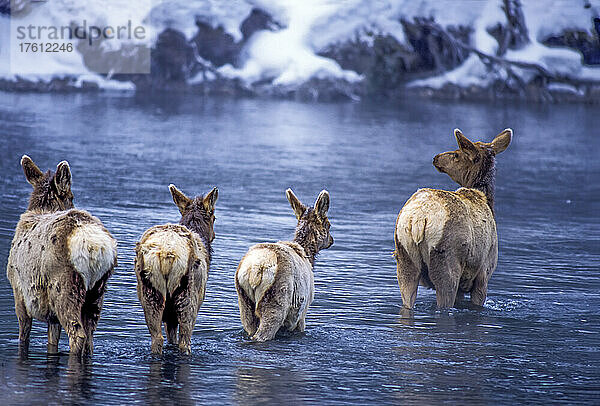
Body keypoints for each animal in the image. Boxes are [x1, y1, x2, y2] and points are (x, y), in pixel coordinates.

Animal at [6, 155, 116, 358]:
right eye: (71, 197)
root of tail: (96, 245)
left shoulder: (18, 291)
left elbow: (23, 336)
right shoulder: (51, 316)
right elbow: (52, 341)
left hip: (65, 287)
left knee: (77, 334)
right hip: (97, 291)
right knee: (90, 337)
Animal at [135, 186, 218, 354]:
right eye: (214, 217)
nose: (213, 235)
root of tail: (166, 254)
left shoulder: (169, 317)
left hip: (151, 294)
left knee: (157, 339)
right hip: (187, 297)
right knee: (184, 342)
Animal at [236, 189, 332, 340]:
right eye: (328, 224)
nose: (332, 240)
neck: (308, 255)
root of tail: (255, 270)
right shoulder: (302, 312)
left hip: (245, 303)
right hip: (276, 301)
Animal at [394, 128, 510, 310]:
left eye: (456, 154)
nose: (436, 158)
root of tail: (419, 219)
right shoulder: (484, 273)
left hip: (404, 254)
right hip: (447, 260)